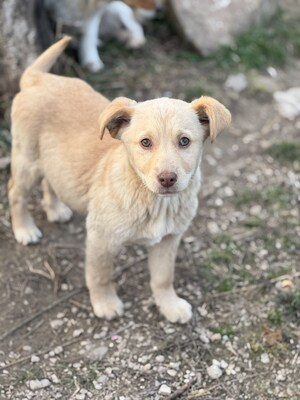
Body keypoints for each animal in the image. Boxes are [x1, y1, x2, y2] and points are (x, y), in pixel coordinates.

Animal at [8, 37, 230, 324]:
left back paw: (55, 209)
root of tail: (38, 78)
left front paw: (169, 305)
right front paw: (105, 303)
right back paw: (24, 229)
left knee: (51, 181)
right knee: (15, 192)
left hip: (52, 161)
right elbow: (100, 275)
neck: (153, 200)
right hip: (27, 161)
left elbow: (163, 277)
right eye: (145, 142)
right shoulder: (101, 239)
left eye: (184, 141)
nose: (167, 178)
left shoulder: (169, 239)